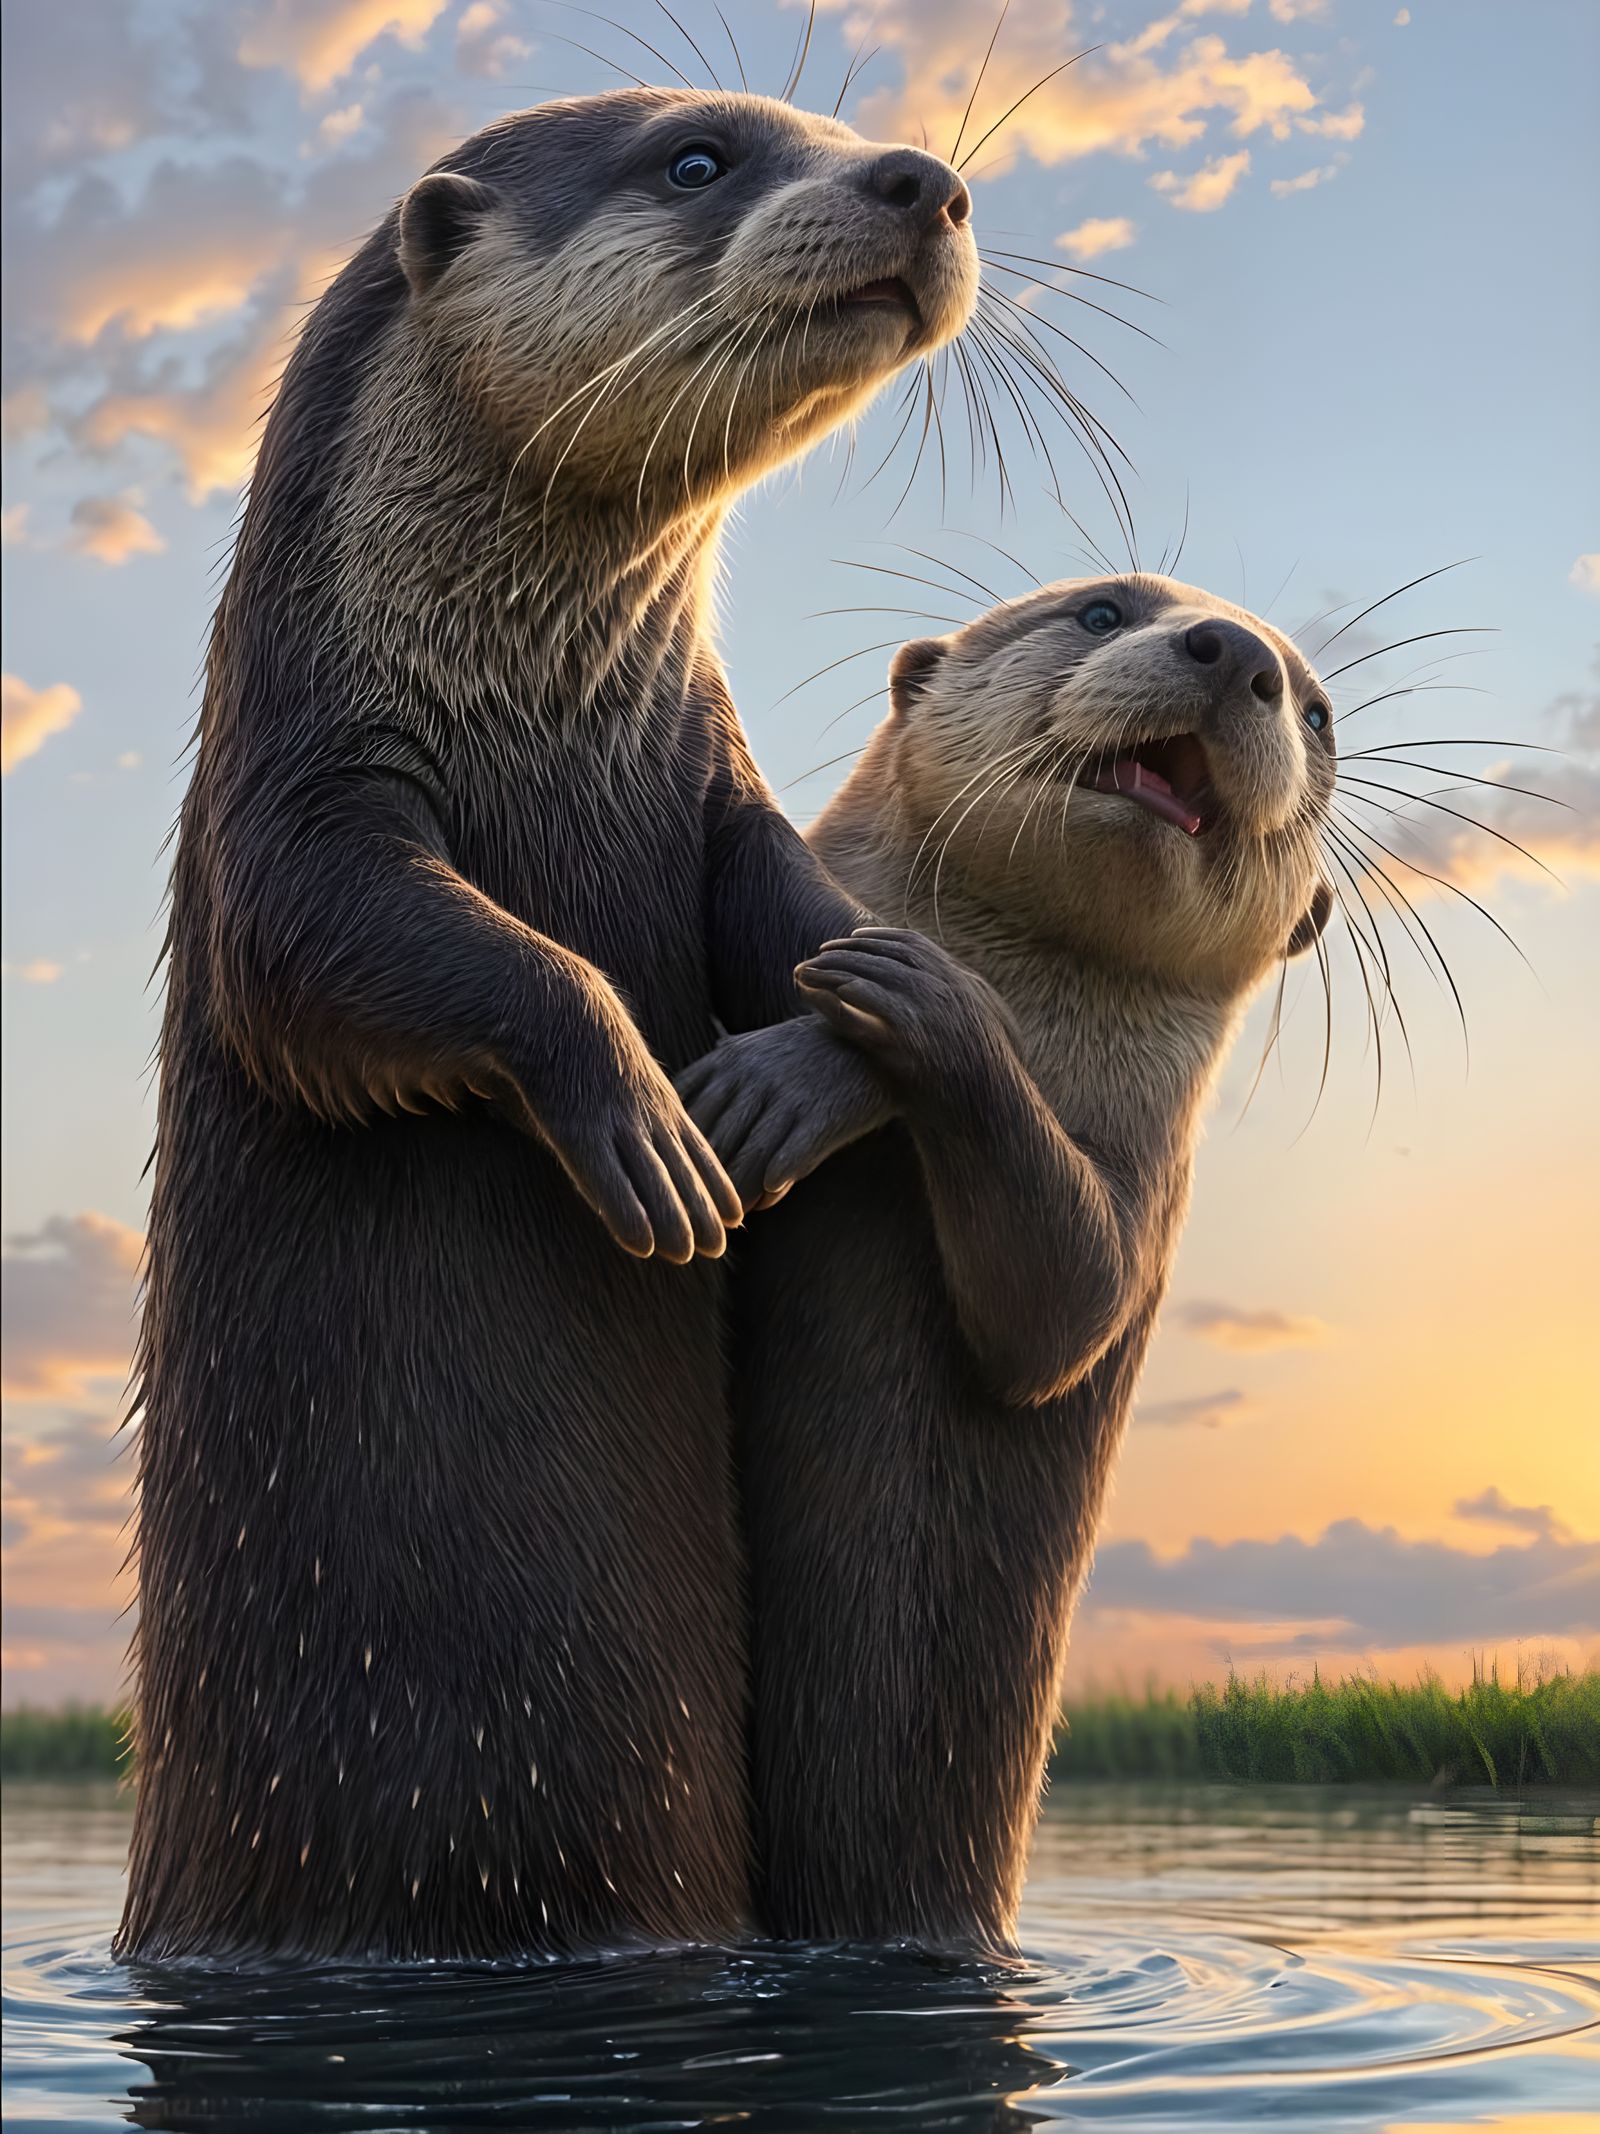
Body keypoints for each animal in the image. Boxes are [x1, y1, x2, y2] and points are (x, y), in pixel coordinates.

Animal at [119, 90, 977, 1963]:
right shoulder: (296, 790)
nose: (925, 180)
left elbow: (808, 917)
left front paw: (792, 1082)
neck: (545, 711)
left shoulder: (714, 776)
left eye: (829, 123)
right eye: (702, 158)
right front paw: (644, 1126)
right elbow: (319, 956)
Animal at [680, 574, 1336, 1949]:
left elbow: (1059, 1307)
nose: (1234, 650)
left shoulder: (1146, 1199)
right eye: (1102, 610)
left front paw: (849, 1049)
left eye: (1318, 714)